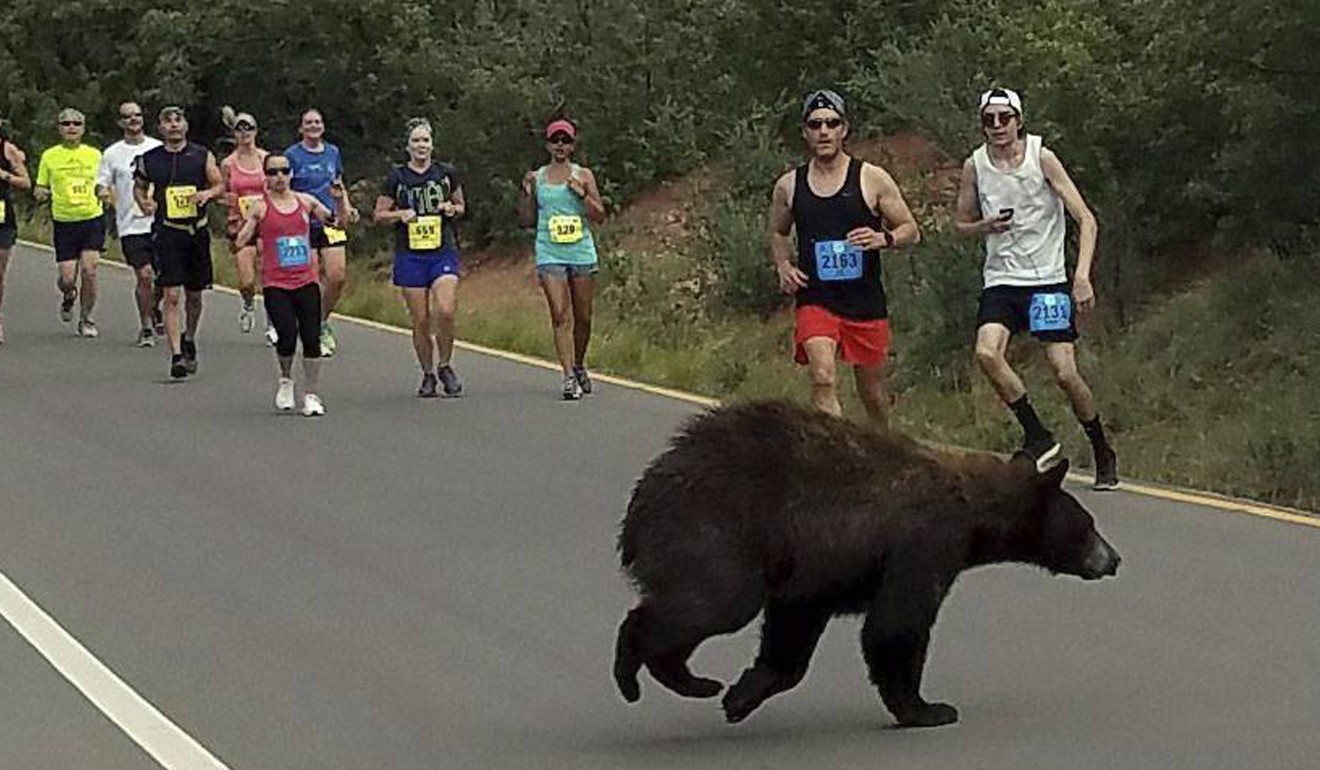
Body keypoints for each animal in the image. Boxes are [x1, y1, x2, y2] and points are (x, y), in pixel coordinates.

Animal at [612, 401, 1119, 734]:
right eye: (1089, 525)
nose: (1114, 558)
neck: (977, 511)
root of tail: (639, 507)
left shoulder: (817, 566)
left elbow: (794, 627)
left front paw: (744, 693)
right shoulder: (925, 542)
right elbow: (897, 625)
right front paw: (928, 708)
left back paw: (689, 679)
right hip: (716, 532)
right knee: (711, 603)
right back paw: (654, 674)